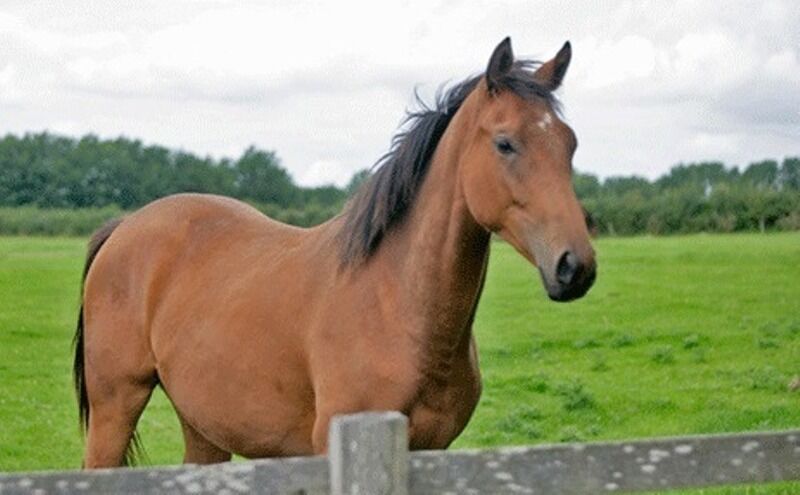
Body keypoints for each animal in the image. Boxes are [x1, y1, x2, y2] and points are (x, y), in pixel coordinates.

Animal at [73, 38, 592, 468]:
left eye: (570, 142)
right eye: (505, 143)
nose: (575, 266)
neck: (394, 304)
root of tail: (125, 228)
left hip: (204, 425)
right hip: (115, 407)